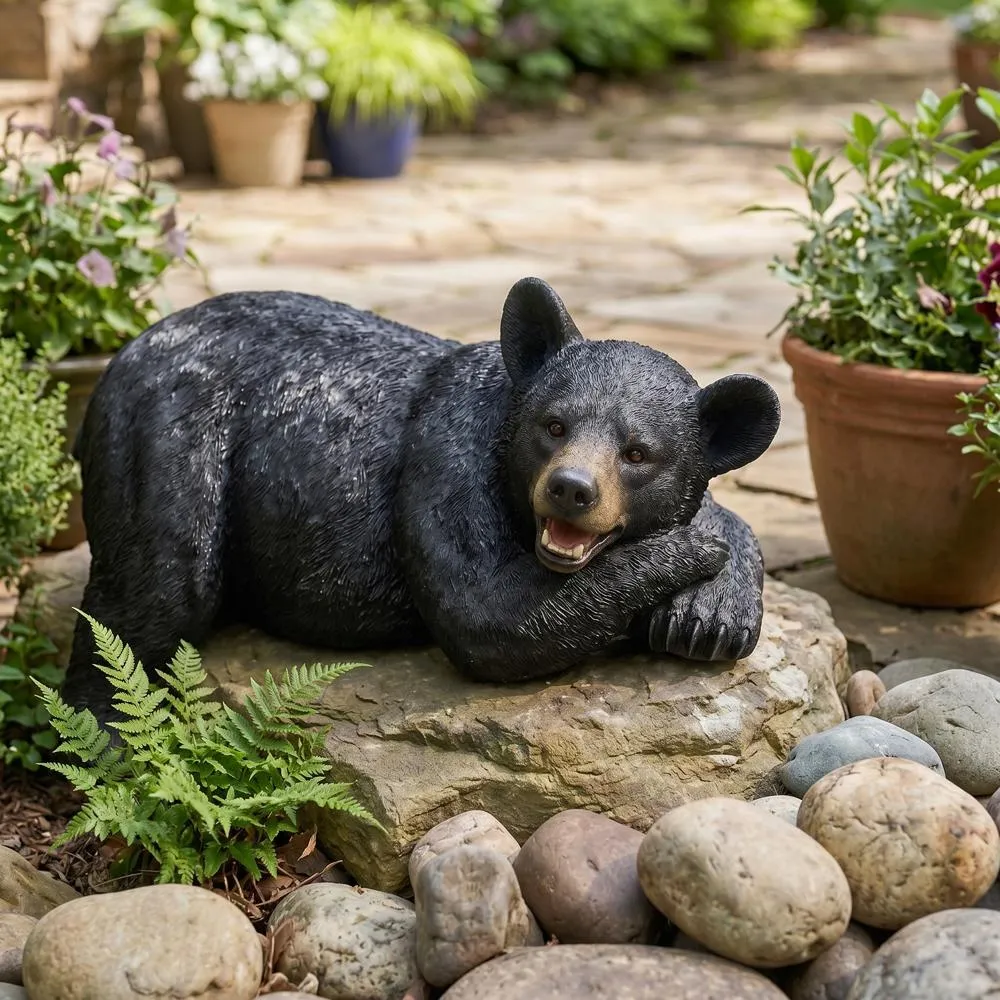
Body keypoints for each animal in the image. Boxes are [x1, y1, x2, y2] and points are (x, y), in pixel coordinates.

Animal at [63, 277, 781, 725]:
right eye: (553, 425)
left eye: (637, 452)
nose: (572, 487)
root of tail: (126, 351)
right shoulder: (446, 457)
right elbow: (490, 614)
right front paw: (691, 554)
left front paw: (708, 613)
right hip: (166, 435)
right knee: (155, 590)